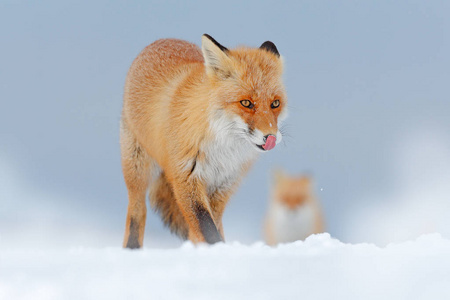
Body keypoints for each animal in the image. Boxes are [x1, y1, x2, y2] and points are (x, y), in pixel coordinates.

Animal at [121, 34, 286, 247]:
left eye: (275, 103)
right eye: (246, 103)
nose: (270, 137)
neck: (223, 149)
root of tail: (162, 40)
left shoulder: (223, 185)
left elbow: (210, 227)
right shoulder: (186, 179)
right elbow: (207, 229)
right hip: (137, 168)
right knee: (137, 212)